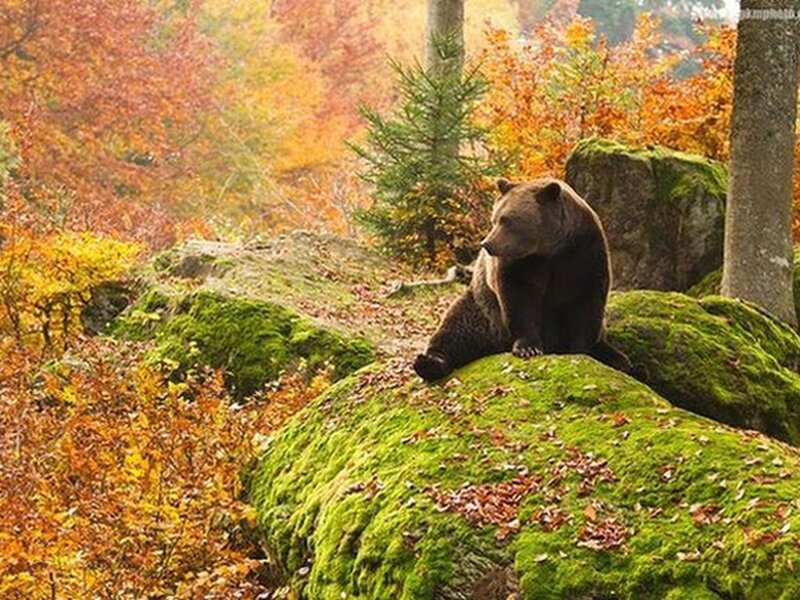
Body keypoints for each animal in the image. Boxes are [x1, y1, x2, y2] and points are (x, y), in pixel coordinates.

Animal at [413, 177, 631, 382]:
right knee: (456, 329)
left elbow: (587, 301)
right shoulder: (520, 263)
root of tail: (496, 346)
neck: (549, 249)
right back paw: (428, 362)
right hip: (483, 310)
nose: (487, 244)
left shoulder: (583, 251)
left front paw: (581, 350)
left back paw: (617, 359)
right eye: (494, 219)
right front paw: (528, 348)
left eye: (507, 220)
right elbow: (519, 298)